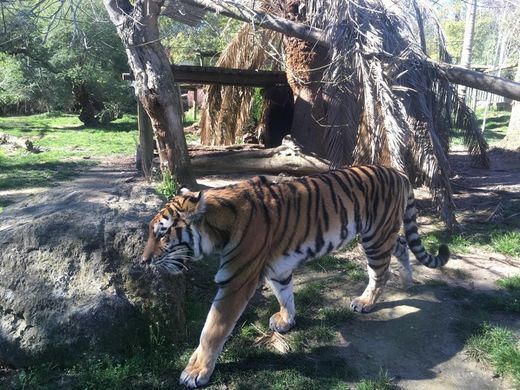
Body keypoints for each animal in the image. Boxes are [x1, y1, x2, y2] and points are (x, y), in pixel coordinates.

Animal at [141, 165, 446, 386]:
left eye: (162, 234)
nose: (144, 261)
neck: (219, 228)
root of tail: (398, 172)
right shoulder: (277, 267)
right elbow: (284, 293)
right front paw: (286, 321)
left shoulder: (236, 281)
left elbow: (212, 329)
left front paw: (196, 372)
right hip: (382, 234)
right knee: (403, 245)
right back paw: (408, 280)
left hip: (375, 237)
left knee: (380, 272)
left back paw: (366, 301)